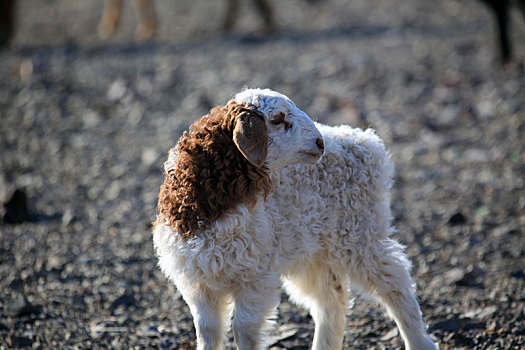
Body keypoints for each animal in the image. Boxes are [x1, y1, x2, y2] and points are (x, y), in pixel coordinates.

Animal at [152, 88, 438, 350]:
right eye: (277, 120)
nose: (319, 143)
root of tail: (365, 141)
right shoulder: (198, 282)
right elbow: (207, 331)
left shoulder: (255, 276)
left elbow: (243, 327)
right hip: (313, 251)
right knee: (331, 300)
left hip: (359, 233)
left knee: (394, 281)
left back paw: (420, 342)